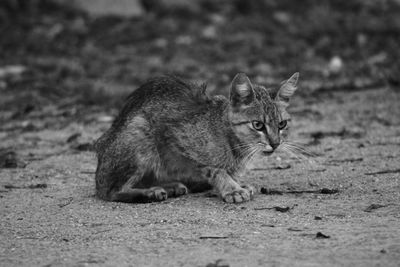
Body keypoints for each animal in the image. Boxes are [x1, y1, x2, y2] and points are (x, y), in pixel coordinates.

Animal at [95, 72, 298, 204]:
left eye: (282, 125)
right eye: (258, 125)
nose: (275, 143)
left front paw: (235, 184)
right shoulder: (175, 137)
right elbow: (215, 169)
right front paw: (232, 188)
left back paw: (170, 186)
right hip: (140, 135)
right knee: (109, 191)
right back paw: (150, 192)